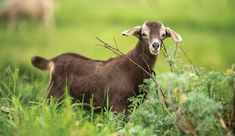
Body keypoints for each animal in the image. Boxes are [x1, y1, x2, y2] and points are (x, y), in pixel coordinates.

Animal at [30, 21, 182, 112]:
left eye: (163, 35)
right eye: (143, 34)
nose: (155, 45)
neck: (133, 70)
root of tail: (52, 61)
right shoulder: (118, 105)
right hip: (54, 95)